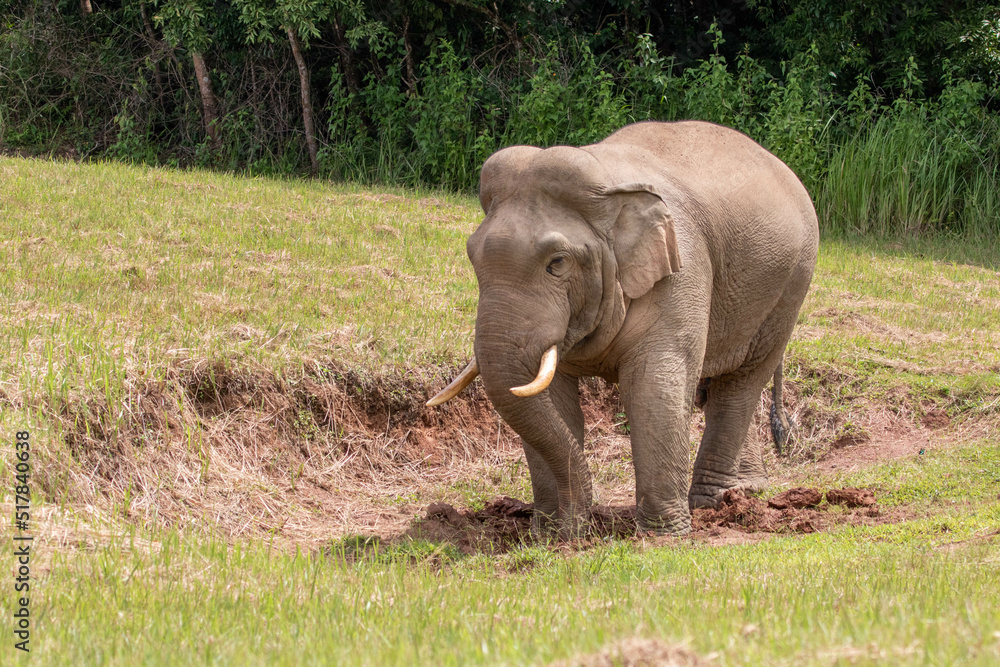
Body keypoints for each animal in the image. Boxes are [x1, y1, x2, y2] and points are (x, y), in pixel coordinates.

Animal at [427, 120, 818, 537]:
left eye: (557, 263)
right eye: (472, 256)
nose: (577, 526)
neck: (608, 188)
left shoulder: (682, 270)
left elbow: (654, 386)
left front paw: (664, 536)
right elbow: (552, 395)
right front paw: (551, 532)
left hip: (792, 284)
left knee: (742, 382)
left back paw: (717, 502)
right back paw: (744, 491)